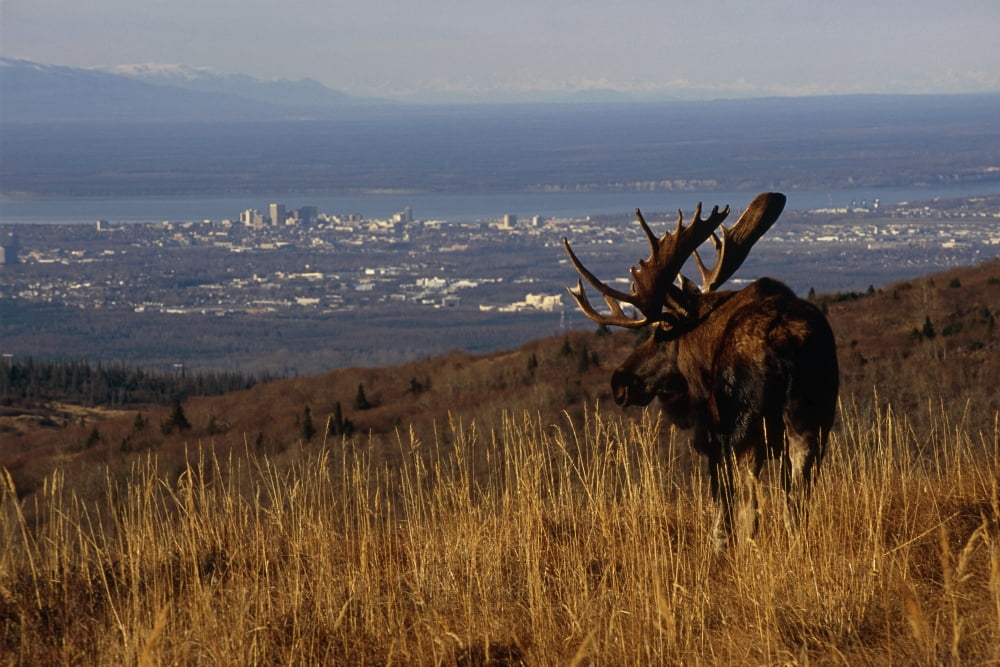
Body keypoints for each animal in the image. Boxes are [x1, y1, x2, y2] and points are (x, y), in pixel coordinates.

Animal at [563, 192, 839, 550]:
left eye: (661, 334)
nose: (619, 383)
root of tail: (785, 343)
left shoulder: (711, 436)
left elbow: (722, 508)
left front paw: (718, 546)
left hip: (746, 431)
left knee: (750, 509)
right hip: (812, 424)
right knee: (797, 505)